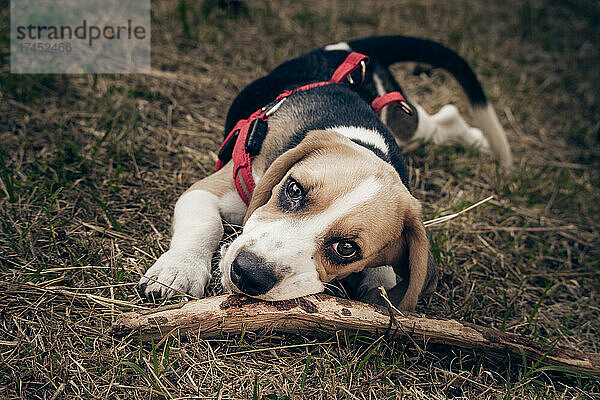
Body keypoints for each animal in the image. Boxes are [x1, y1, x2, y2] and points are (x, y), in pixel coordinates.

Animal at [139, 36, 510, 310]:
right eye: (293, 190)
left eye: (347, 249)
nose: (248, 273)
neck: (357, 136)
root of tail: (349, 48)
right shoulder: (211, 189)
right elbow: (207, 224)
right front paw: (177, 271)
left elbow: (385, 276)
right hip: (410, 125)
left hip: (409, 124)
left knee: (445, 118)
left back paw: (480, 143)